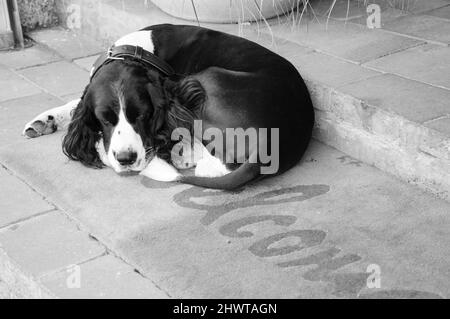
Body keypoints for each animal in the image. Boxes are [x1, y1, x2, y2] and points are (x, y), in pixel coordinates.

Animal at [23, 25, 312, 191]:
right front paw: (46, 119)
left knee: (211, 161)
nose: (126, 159)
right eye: (104, 120)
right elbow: (76, 103)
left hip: (207, 78)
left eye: (143, 115)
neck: (133, 52)